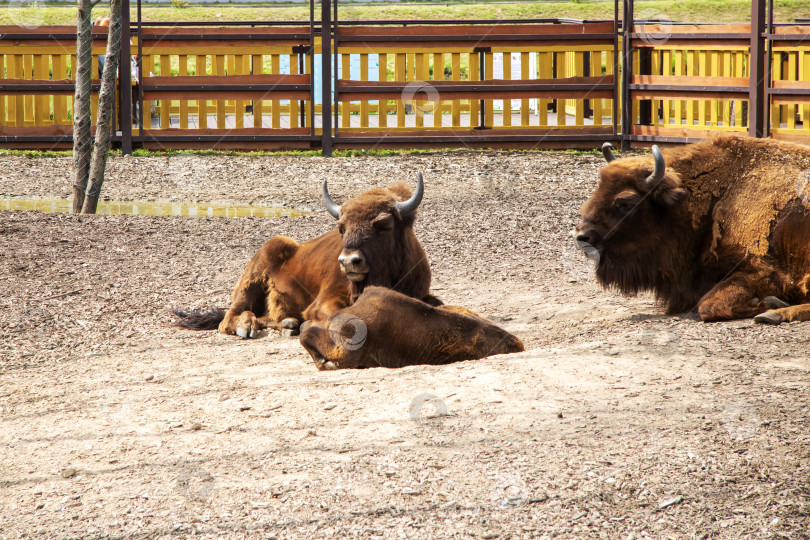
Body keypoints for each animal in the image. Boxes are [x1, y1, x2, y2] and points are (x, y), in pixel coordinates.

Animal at [572, 135, 808, 324]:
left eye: (625, 202)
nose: (582, 237)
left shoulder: (765, 271)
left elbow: (708, 305)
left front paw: (769, 303)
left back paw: (775, 313)